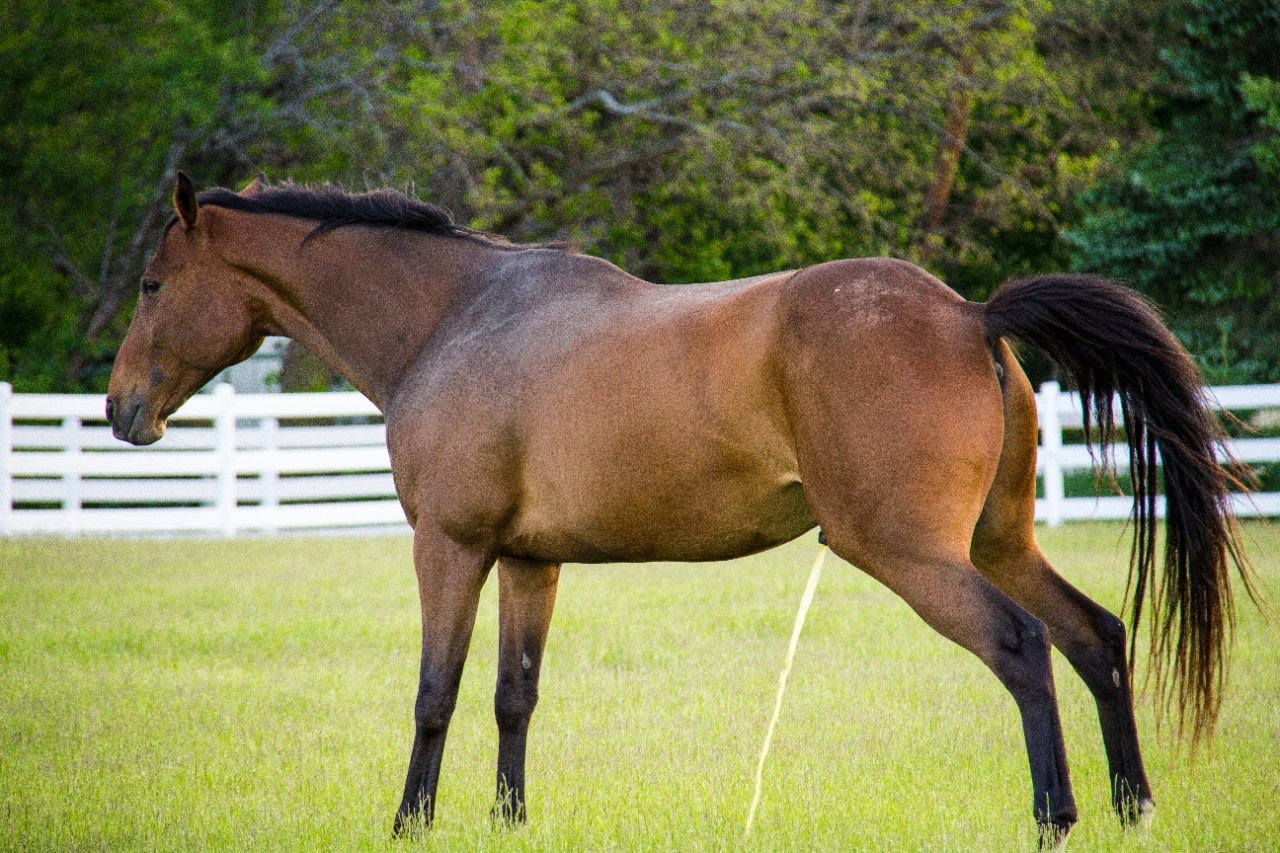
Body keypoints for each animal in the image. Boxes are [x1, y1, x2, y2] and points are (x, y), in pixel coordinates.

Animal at [107, 172, 1249, 845]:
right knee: (1094, 637)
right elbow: (513, 697)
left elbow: (435, 693)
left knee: (1021, 647)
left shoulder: (451, 547)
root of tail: (971, 313)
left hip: (908, 552)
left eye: (154, 284)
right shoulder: (529, 561)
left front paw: (408, 823)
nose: (121, 410)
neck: (459, 320)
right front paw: (508, 821)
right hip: (997, 541)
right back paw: (1131, 807)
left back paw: (1056, 817)